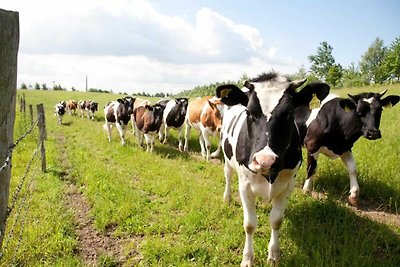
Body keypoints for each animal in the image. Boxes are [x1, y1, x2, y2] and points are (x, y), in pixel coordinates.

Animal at [216, 72, 332, 266]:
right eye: (249, 112)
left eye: (289, 113)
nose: (265, 161)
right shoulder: (245, 186)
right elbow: (249, 224)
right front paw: (247, 258)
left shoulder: (288, 185)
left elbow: (276, 220)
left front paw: (274, 254)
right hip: (227, 159)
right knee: (227, 175)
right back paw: (227, 197)